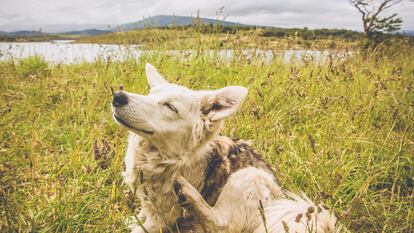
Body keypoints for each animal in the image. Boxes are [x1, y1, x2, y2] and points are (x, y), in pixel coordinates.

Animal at [111, 62, 338, 232]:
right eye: (149, 95)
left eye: (170, 107)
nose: (118, 96)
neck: (166, 158)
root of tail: (280, 200)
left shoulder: (163, 217)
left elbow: (150, 225)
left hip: (248, 176)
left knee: (220, 225)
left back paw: (189, 194)